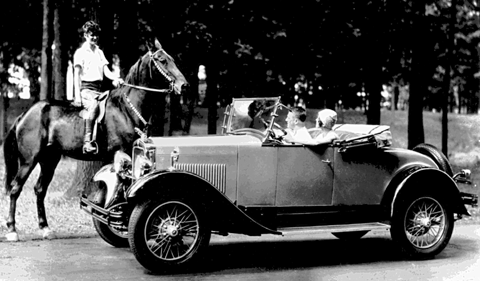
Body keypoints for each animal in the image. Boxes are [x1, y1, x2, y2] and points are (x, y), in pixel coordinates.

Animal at [2, 38, 188, 242]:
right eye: (162, 60)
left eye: (172, 59)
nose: (184, 85)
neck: (126, 109)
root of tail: (26, 114)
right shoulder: (123, 154)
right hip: (29, 161)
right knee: (15, 189)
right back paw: (12, 230)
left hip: (49, 160)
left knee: (39, 190)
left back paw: (45, 228)